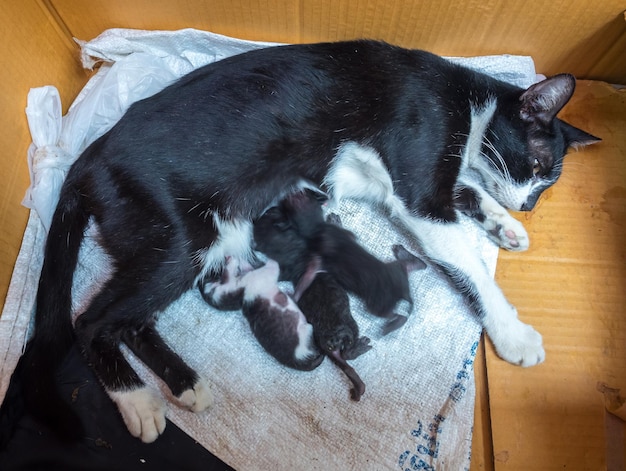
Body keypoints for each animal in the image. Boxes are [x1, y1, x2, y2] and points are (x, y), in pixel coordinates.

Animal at [0, 38, 596, 444]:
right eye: (537, 167)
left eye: (546, 186)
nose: (529, 205)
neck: (466, 101)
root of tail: (87, 160)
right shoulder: (419, 186)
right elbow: (468, 260)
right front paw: (514, 332)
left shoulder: (423, 185)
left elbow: (465, 189)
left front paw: (503, 223)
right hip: (179, 235)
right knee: (92, 321)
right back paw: (138, 401)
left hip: (205, 239)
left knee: (133, 320)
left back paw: (184, 382)